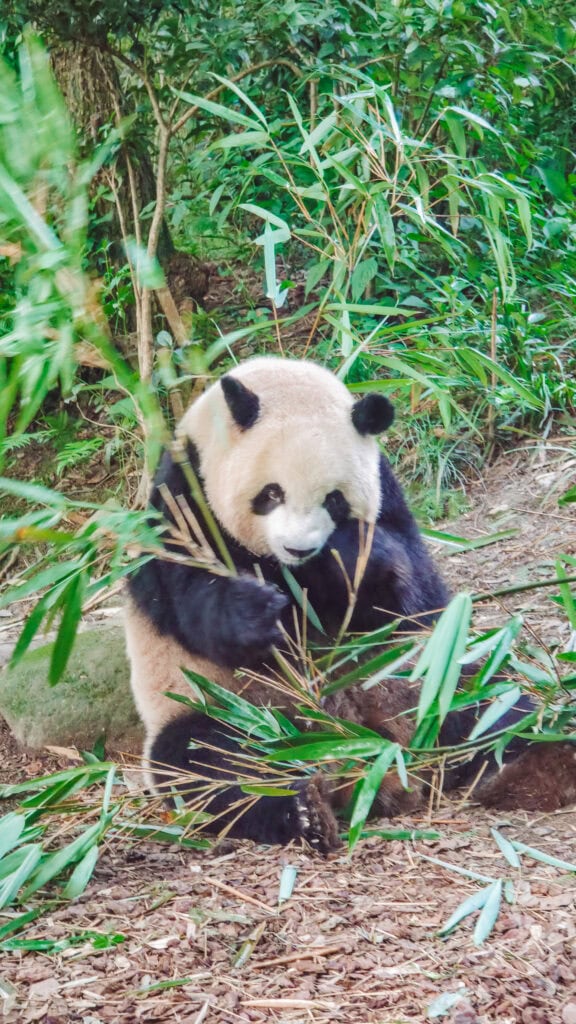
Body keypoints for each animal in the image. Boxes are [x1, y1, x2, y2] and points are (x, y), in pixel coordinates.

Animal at [125, 357, 576, 851]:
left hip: (418, 666)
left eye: (334, 500)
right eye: (271, 493)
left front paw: (348, 558)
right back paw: (303, 810)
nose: (300, 549)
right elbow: (189, 599)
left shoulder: (387, 492)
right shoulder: (180, 500)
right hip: (224, 705)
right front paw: (257, 612)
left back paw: (534, 764)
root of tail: (362, 747)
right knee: (214, 762)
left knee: (485, 698)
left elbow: (405, 586)